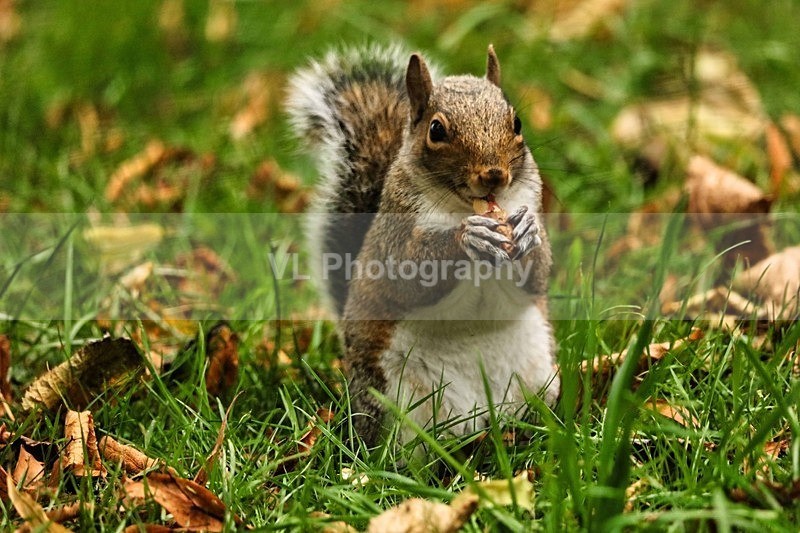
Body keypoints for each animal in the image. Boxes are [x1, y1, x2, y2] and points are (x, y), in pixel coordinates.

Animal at [286, 44, 560, 447]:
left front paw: (526, 231)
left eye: (517, 123)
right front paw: (468, 237)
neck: (463, 206)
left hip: (540, 379)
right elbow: (410, 274)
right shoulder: (393, 236)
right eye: (437, 130)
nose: (494, 174)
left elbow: (537, 275)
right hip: (392, 403)